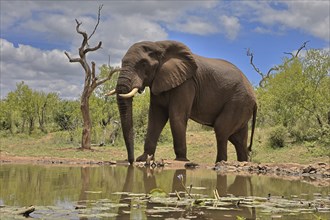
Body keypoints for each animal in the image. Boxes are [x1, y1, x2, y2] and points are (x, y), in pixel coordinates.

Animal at [112, 40, 256, 165]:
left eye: (143, 64)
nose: (131, 161)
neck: (158, 45)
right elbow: (155, 117)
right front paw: (143, 158)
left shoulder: (186, 83)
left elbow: (177, 116)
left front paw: (181, 160)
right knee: (238, 139)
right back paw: (242, 162)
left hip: (239, 101)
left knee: (221, 129)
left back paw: (220, 162)